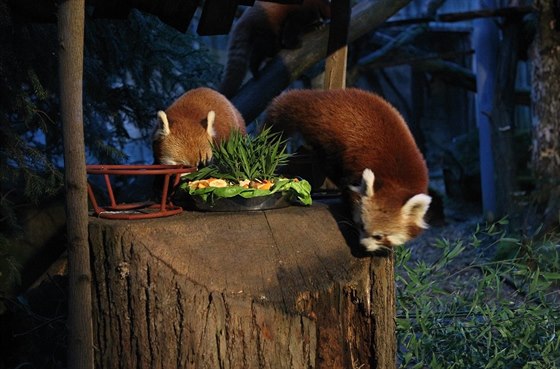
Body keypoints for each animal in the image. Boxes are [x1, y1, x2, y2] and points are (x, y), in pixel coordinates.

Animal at [264, 87, 430, 252]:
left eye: (379, 236)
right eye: (362, 226)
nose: (363, 246)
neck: (395, 181)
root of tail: (325, 96)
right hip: (329, 137)